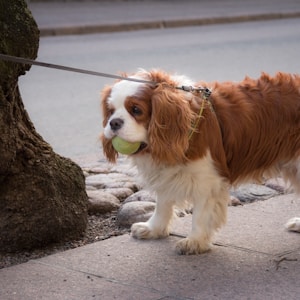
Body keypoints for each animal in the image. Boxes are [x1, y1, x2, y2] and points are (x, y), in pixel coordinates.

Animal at [101, 69, 300, 254]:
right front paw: (154, 228)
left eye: (136, 110)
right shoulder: (167, 175)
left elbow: (200, 215)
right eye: (110, 111)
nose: (114, 123)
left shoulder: (208, 182)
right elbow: (162, 204)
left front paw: (195, 241)